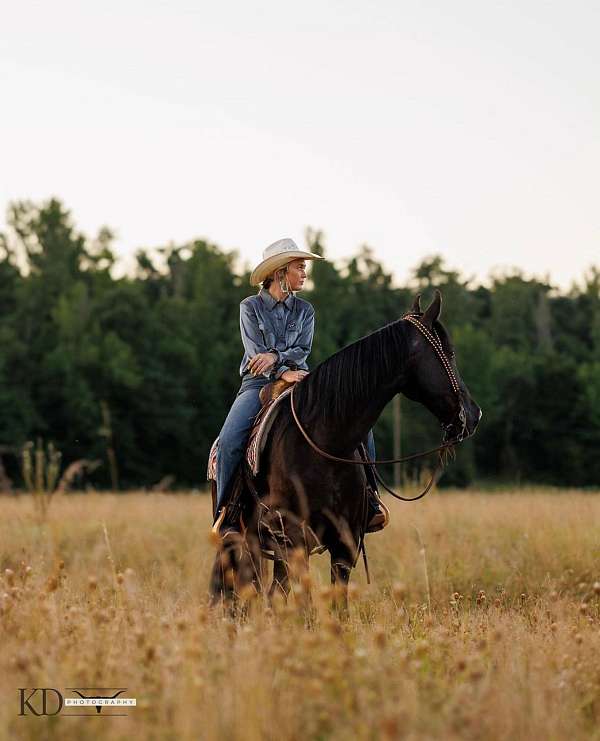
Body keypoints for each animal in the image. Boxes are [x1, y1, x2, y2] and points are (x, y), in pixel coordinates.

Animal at [209, 290, 480, 608]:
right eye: (450, 353)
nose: (473, 415)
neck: (324, 440)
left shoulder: (345, 543)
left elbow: (337, 605)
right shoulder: (294, 538)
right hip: (244, 538)